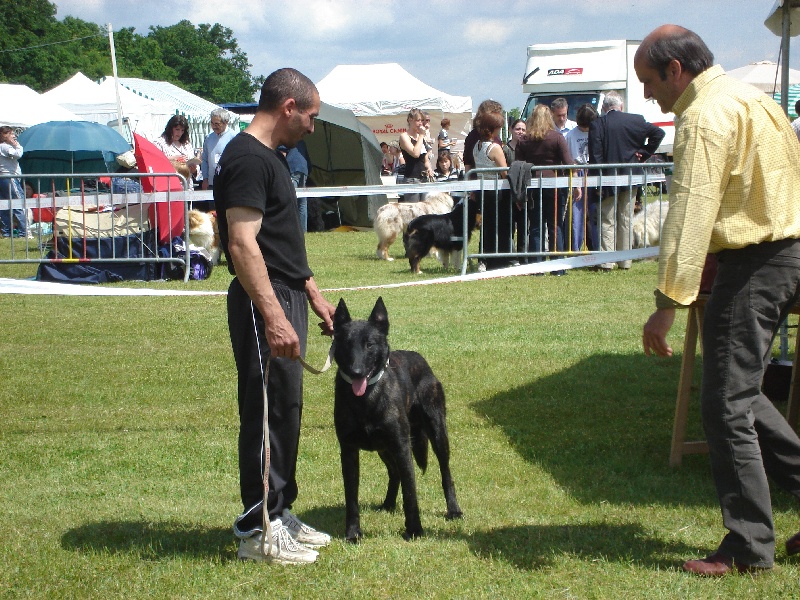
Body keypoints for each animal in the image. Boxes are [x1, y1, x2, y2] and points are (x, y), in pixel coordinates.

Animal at [330, 298, 462, 540]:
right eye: (346, 344)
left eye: (369, 345)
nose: (356, 372)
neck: (366, 399)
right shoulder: (349, 451)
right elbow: (351, 497)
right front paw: (353, 533)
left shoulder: (402, 446)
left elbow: (410, 492)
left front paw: (414, 530)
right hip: (384, 448)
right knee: (394, 473)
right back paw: (388, 504)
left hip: (437, 433)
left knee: (445, 473)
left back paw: (453, 510)